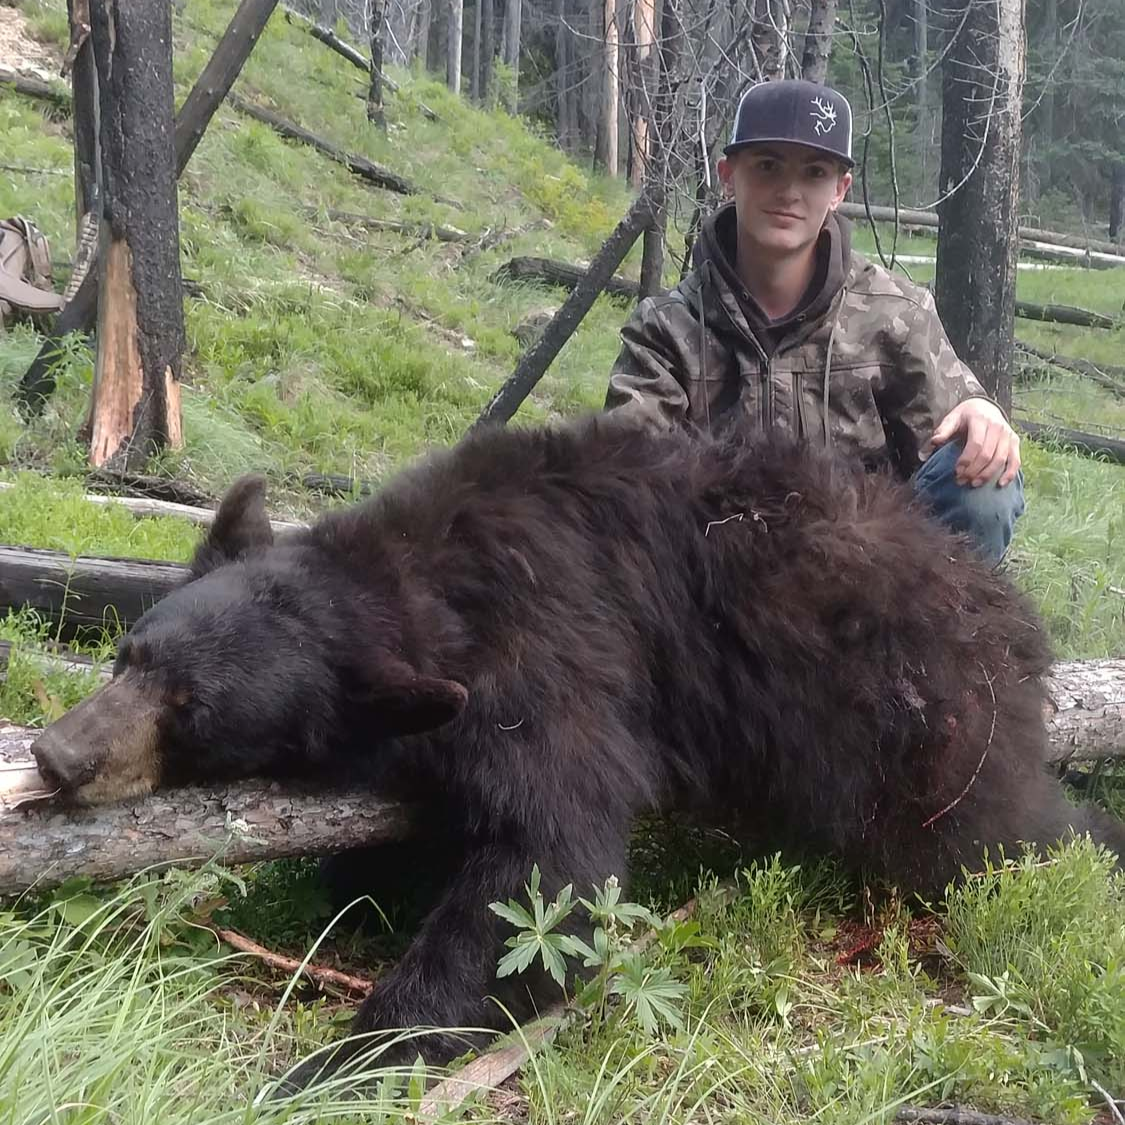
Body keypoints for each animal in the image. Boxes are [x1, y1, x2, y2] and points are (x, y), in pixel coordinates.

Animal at [30, 414, 1125, 1092]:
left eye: (192, 709)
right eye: (130, 657)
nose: (55, 756)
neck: (421, 582)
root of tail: (1005, 613)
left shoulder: (548, 655)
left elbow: (547, 871)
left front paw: (338, 1061)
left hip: (907, 719)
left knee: (990, 834)